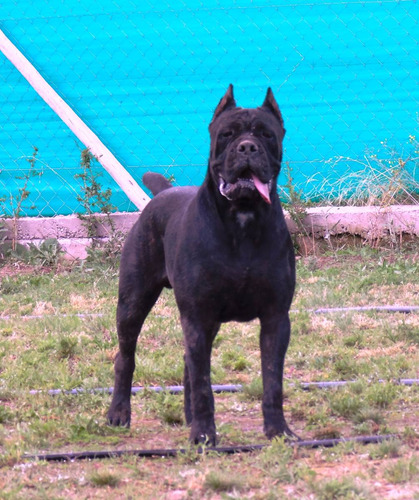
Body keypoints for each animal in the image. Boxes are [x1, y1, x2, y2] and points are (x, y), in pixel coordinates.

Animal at [108, 84, 298, 444]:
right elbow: (203, 384)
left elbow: (273, 379)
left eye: (266, 134)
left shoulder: (275, 317)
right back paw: (119, 413)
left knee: (188, 362)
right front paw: (204, 435)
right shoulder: (197, 315)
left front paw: (278, 430)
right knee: (126, 357)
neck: (243, 218)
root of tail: (161, 195)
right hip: (133, 303)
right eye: (227, 134)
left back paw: (187, 417)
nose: (247, 146)